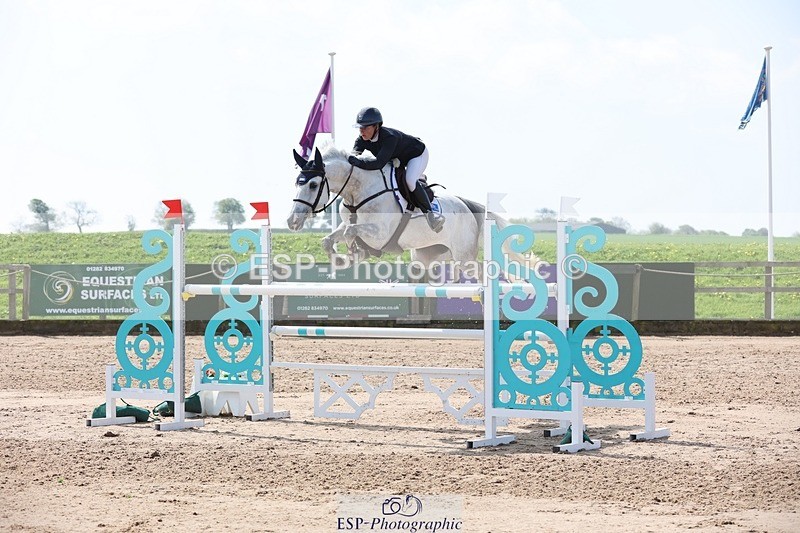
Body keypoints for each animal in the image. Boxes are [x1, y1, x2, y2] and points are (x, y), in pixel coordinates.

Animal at [286, 145, 529, 278]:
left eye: (313, 185)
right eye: (297, 182)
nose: (292, 222)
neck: (358, 190)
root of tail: (466, 205)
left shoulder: (379, 234)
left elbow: (350, 234)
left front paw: (356, 252)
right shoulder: (348, 224)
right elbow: (328, 240)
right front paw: (342, 260)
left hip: (463, 256)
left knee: (479, 273)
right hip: (427, 256)